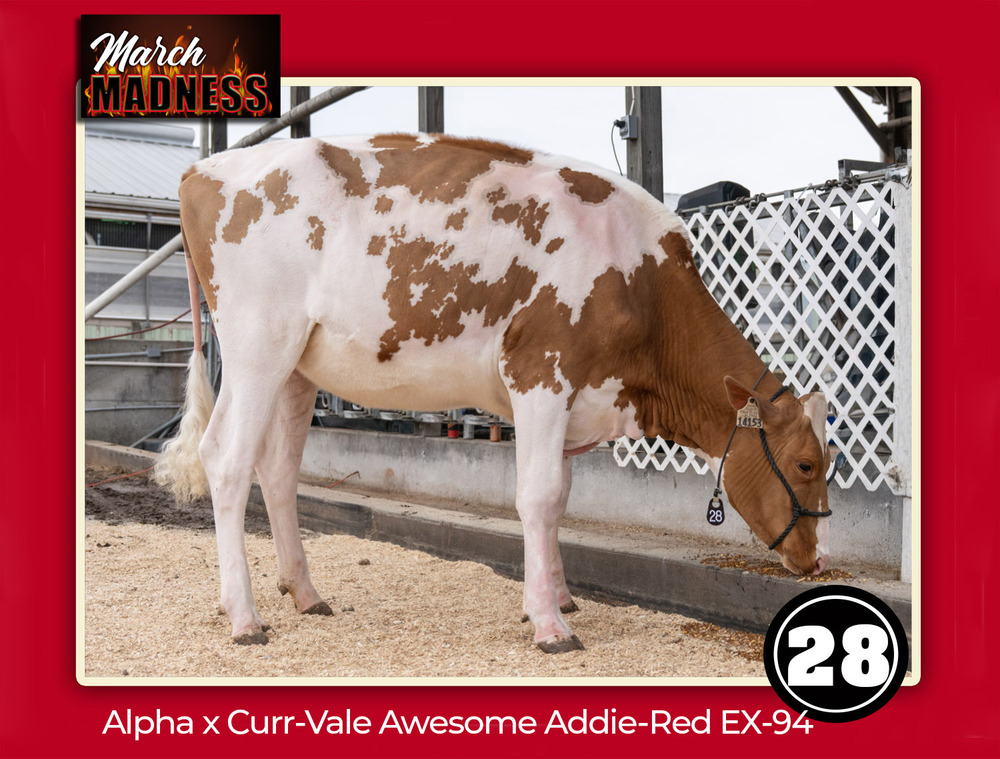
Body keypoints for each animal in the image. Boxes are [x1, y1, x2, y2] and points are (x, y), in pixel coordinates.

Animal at [155, 133, 832, 653]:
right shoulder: (542, 373)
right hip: (257, 346)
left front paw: (556, 597)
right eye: (805, 463)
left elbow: (560, 500)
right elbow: (537, 497)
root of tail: (203, 170)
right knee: (227, 459)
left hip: (297, 368)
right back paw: (244, 618)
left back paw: (304, 593)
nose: (819, 560)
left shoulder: (571, 397)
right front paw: (551, 626)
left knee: (278, 469)